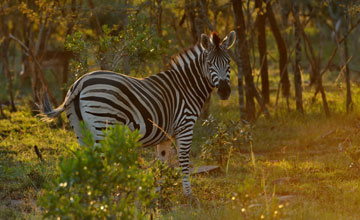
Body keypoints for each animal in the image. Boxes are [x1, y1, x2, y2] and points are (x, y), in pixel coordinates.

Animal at [39, 31, 236, 198]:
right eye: (209, 64)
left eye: (228, 63)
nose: (225, 91)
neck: (186, 86)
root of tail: (80, 82)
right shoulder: (185, 126)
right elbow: (183, 160)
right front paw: (189, 195)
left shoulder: (165, 134)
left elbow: (162, 162)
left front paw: (159, 195)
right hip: (103, 127)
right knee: (98, 162)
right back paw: (105, 198)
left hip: (81, 131)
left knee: (86, 162)